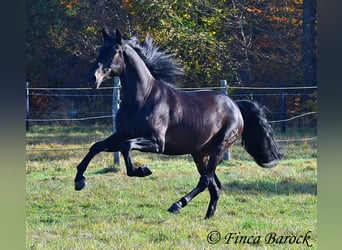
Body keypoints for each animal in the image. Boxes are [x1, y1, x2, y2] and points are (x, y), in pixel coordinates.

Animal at [73, 28, 282, 218]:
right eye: (100, 49)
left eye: (116, 50)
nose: (92, 77)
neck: (143, 98)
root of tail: (236, 106)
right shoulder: (121, 135)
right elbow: (96, 146)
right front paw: (79, 181)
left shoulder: (157, 142)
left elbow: (126, 147)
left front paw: (141, 170)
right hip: (200, 154)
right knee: (214, 185)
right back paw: (207, 217)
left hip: (219, 148)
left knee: (205, 181)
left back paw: (177, 205)